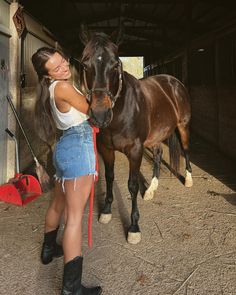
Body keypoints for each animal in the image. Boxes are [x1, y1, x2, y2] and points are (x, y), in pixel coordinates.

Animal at [78, 31, 193, 245]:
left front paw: (133, 228)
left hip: (182, 127)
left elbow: (132, 185)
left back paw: (188, 179)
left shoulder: (135, 150)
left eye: (116, 64)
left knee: (186, 149)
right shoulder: (106, 149)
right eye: (84, 64)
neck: (121, 111)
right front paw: (106, 211)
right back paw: (150, 190)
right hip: (156, 134)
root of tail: (174, 81)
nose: (100, 115)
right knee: (158, 154)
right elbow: (109, 177)